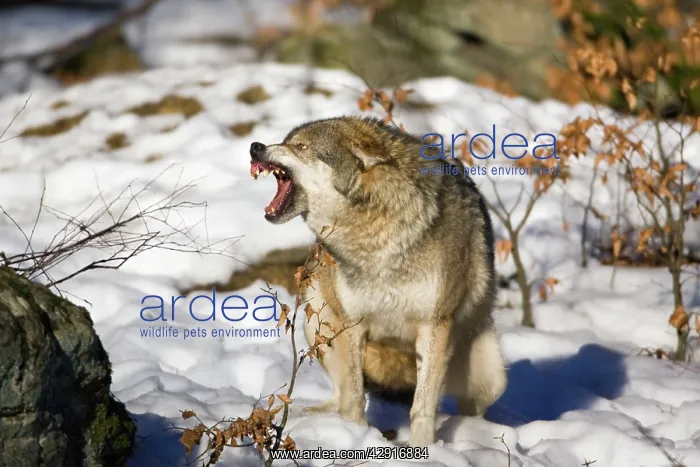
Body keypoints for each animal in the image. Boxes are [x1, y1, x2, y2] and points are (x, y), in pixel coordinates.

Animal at [248, 116, 507, 447]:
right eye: (286, 141)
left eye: (301, 147)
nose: (255, 147)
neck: (375, 234)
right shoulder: (352, 323)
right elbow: (355, 398)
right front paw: (356, 435)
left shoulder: (434, 325)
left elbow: (422, 408)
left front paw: (424, 448)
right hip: (316, 317)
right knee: (340, 395)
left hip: (491, 379)